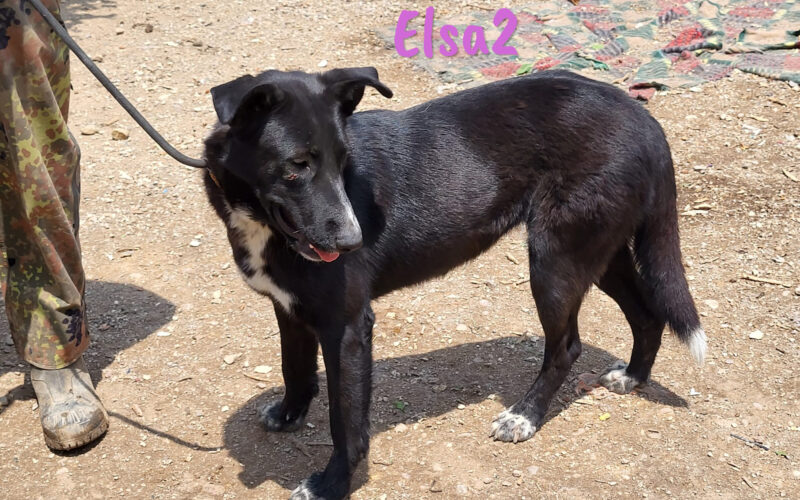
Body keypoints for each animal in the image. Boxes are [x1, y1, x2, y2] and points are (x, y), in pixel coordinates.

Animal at [203, 67, 705, 499]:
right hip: (603, 255)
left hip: (556, 261)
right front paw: (290, 413)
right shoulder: (290, 307)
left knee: (567, 346)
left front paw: (332, 485)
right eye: (297, 165)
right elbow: (295, 366)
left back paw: (524, 416)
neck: (263, 224)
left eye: (345, 162)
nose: (353, 240)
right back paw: (633, 377)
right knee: (647, 315)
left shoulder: (347, 327)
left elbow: (346, 423)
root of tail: (640, 115)